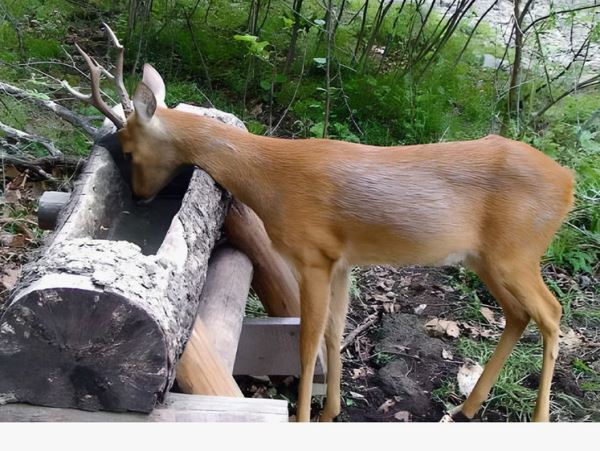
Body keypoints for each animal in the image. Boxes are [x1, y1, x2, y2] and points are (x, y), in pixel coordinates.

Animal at [65, 24, 576, 424]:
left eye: (130, 149)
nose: (140, 196)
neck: (270, 178)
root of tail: (568, 182)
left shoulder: (312, 255)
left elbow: (307, 341)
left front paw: (304, 416)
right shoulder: (342, 261)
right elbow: (333, 332)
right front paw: (331, 411)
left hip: (516, 251)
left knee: (551, 313)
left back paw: (538, 418)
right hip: (485, 258)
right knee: (519, 315)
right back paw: (467, 407)